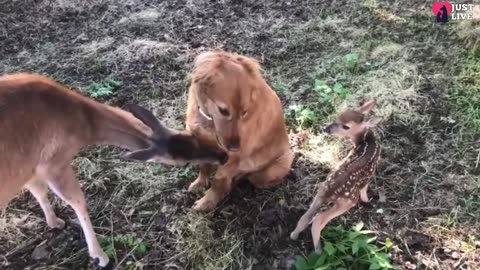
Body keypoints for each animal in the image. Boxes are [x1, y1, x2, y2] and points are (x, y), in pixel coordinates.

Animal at [0, 73, 228, 268]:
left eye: (191, 136)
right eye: (183, 163)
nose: (223, 156)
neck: (82, 124)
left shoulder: (29, 168)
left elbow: (39, 192)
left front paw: (54, 222)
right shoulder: (53, 163)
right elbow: (78, 201)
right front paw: (99, 256)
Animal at [184, 50, 292, 211]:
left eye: (244, 112)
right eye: (223, 111)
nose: (235, 147)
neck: (209, 122)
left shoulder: (231, 160)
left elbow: (218, 181)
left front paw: (207, 202)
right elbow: (203, 167)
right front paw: (200, 183)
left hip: (265, 172)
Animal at [288, 98, 382, 253]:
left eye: (345, 126)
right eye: (337, 117)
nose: (326, 129)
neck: (367, 141)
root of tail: (330, 191)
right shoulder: (371, 171)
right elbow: (364, 189)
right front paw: (367, 200)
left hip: (320, 192)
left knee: (306, 217)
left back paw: (293, 236)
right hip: (347, 201)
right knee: (318, 220)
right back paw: (318, 249)